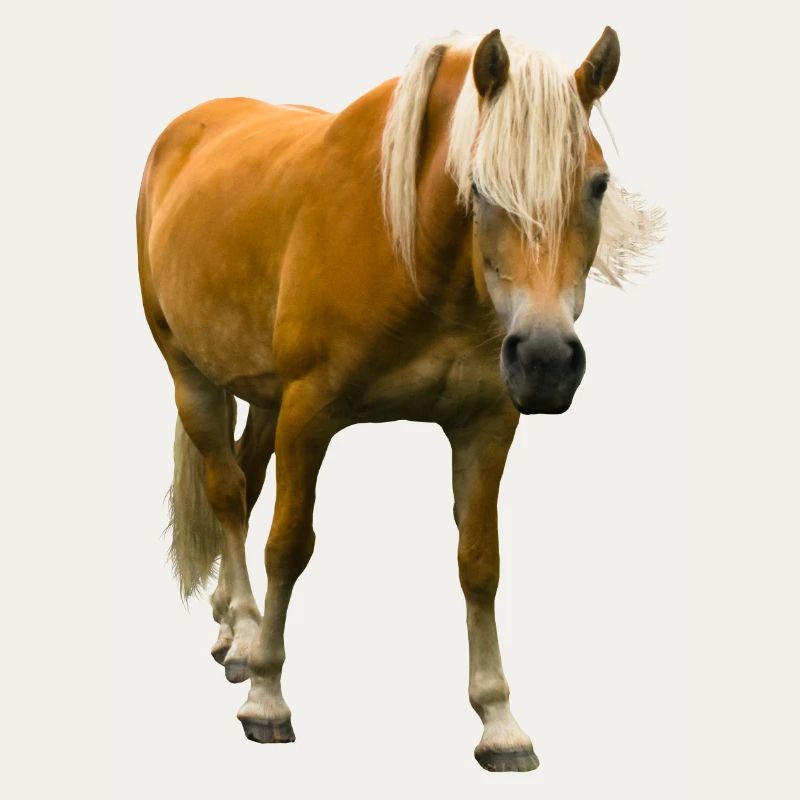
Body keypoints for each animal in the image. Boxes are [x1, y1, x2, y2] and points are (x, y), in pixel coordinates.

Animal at [137, 26, 661, 772]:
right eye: (479, 185)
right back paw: (241, 634)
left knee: (244, 477)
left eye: (597, 184)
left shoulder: (484, 423)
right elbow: (287, 546)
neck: (411, 254)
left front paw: (499, 721)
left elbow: (479, 563)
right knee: (229, 495)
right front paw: (268, 696)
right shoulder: (309, 416)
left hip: (262, 396)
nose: (545, 360)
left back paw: (229, 624)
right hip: (193, 378)